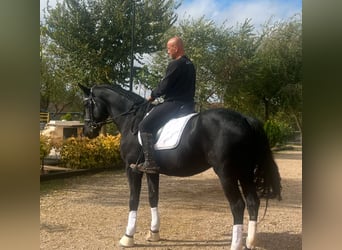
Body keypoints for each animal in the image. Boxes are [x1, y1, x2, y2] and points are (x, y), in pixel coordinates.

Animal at [79, 84, 280, 250]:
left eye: (87, 104)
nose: (87, 131)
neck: (131, 120)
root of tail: (244, 118)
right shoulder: (151, 171)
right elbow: (153, 198)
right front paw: (154, 233)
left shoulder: (132, 169)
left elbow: (133, 200)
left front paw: (128, 237)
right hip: (245, 173)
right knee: (253, 202)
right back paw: (250, 242)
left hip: (227, 174)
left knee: (238, 205)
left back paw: (236, 245)